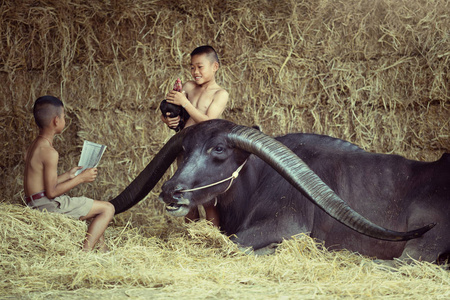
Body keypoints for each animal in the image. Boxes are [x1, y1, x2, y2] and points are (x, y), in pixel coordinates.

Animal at [110, 118, 450, 264]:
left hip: (423, 242)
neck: (259, 182)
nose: (171, 191)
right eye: (184, 150)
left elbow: (235, 244)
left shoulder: (284, 224)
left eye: (218, 148)